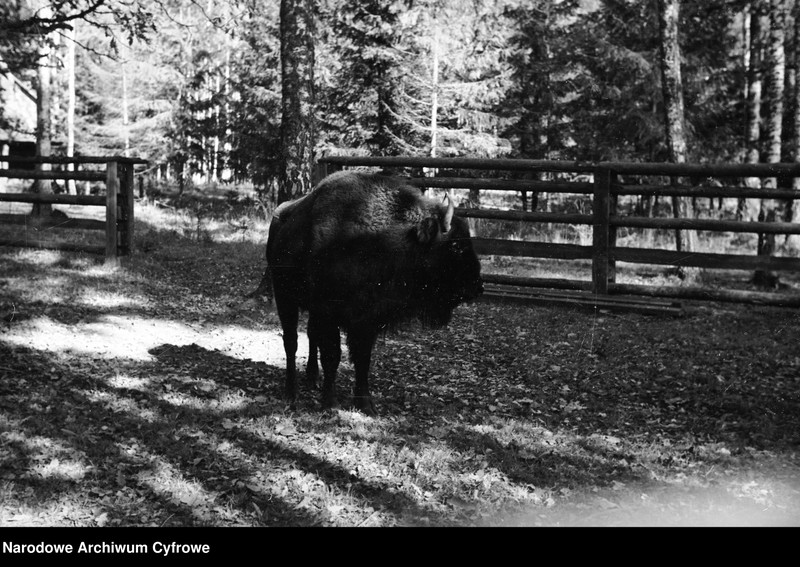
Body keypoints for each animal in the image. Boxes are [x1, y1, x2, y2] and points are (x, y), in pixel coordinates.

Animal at [262, 171, 482, 414]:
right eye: (456, 246)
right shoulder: (330, 313)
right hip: (285, 297)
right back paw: (291, 392)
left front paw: (366, 404)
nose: (477, 286)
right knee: (291, 342)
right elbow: (332, 355)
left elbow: (362, 359)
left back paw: (312, 378)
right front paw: (330, 402)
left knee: (310, 335)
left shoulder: (366, 320)